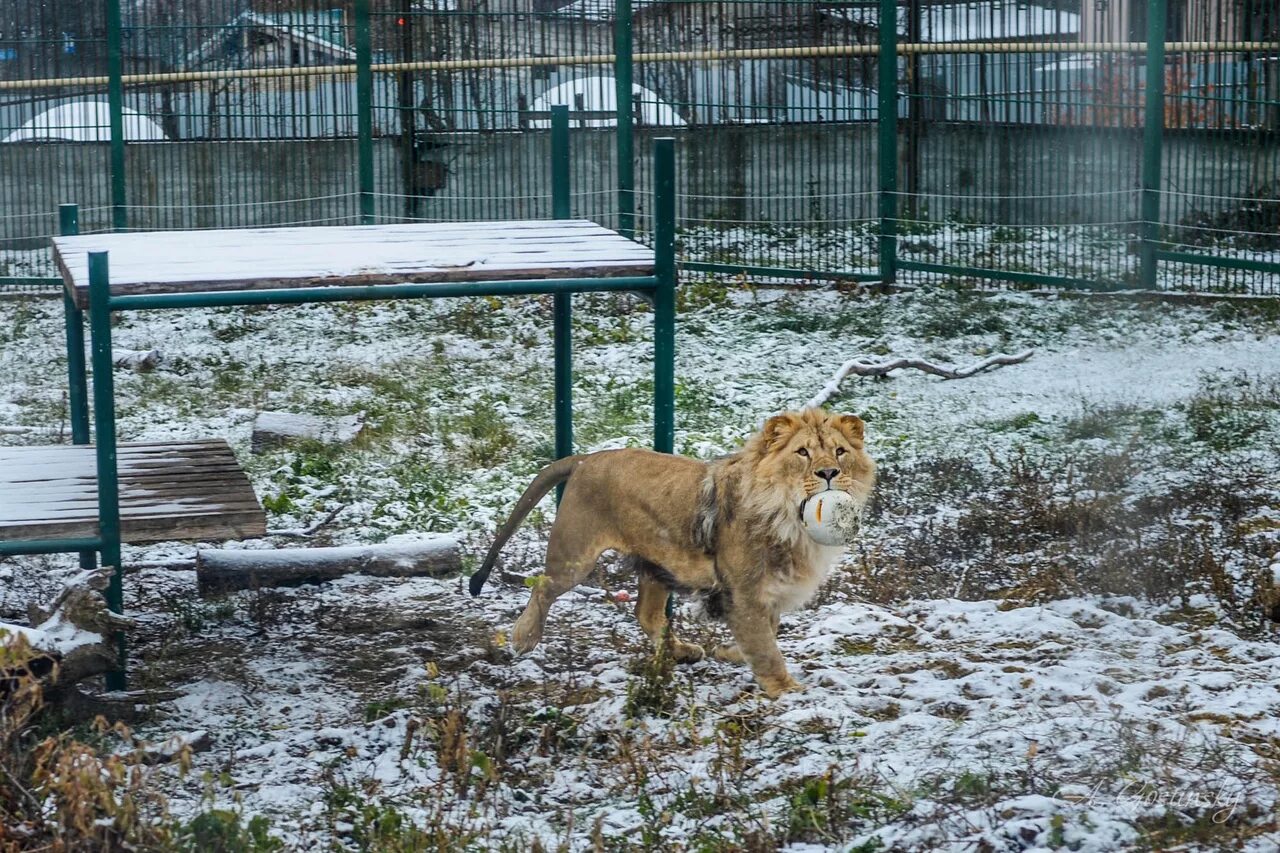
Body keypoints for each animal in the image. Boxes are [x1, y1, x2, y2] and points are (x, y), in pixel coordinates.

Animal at [471, 409, 880, 696]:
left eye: (840, 452)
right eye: (802, 453)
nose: (829, 473)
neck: (789, 520)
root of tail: (585, 457)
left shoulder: (767, 590)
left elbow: (769, 630)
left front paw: (730, 653)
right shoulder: (745, 591)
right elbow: (765, 645)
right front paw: (786, 690)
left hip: (658, 563)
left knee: (646, 614)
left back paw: (681, 651)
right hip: (574, 554)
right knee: (542, 586)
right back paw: (524, 637)